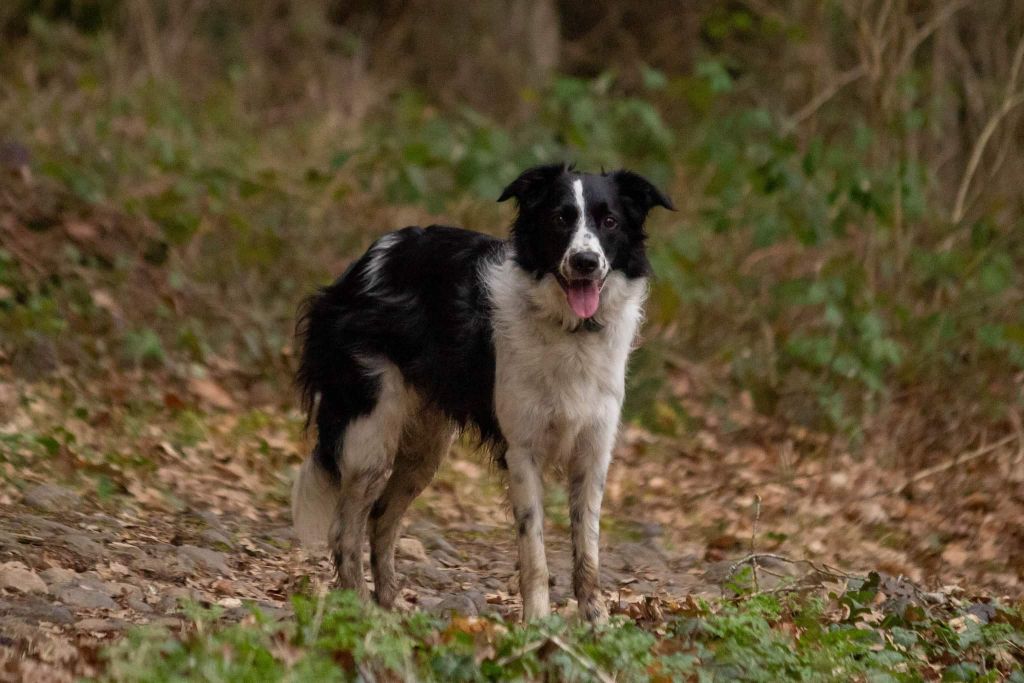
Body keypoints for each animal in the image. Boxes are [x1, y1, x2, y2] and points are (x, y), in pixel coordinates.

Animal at [290, 163, 671, 618]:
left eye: (609, 221)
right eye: (560, 218)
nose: (585, 262)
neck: (570, 330)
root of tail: (366, 260)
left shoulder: (593, 453)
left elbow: (588, 555)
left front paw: (595, 622)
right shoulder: (522, 452)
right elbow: (535, 552)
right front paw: (538, 622)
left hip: (426, 448)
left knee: (381, 519)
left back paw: (391, 606)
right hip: (371, 436)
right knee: (344, 531)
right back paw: (363, 612)